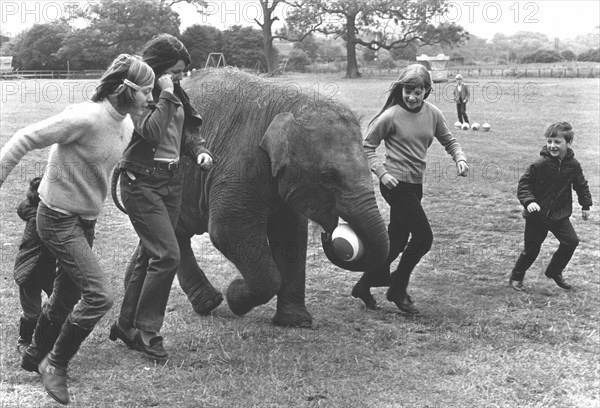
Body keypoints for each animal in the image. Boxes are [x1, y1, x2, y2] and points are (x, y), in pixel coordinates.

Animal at [161, 68, 390, 326]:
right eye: (329, 176)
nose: (328, 234)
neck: (291, 106)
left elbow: (291, 235)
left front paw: (295, 322)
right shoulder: (240, 166)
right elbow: (227, 232)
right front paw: (235, 295)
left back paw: (208, 302)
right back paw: (213, 302)